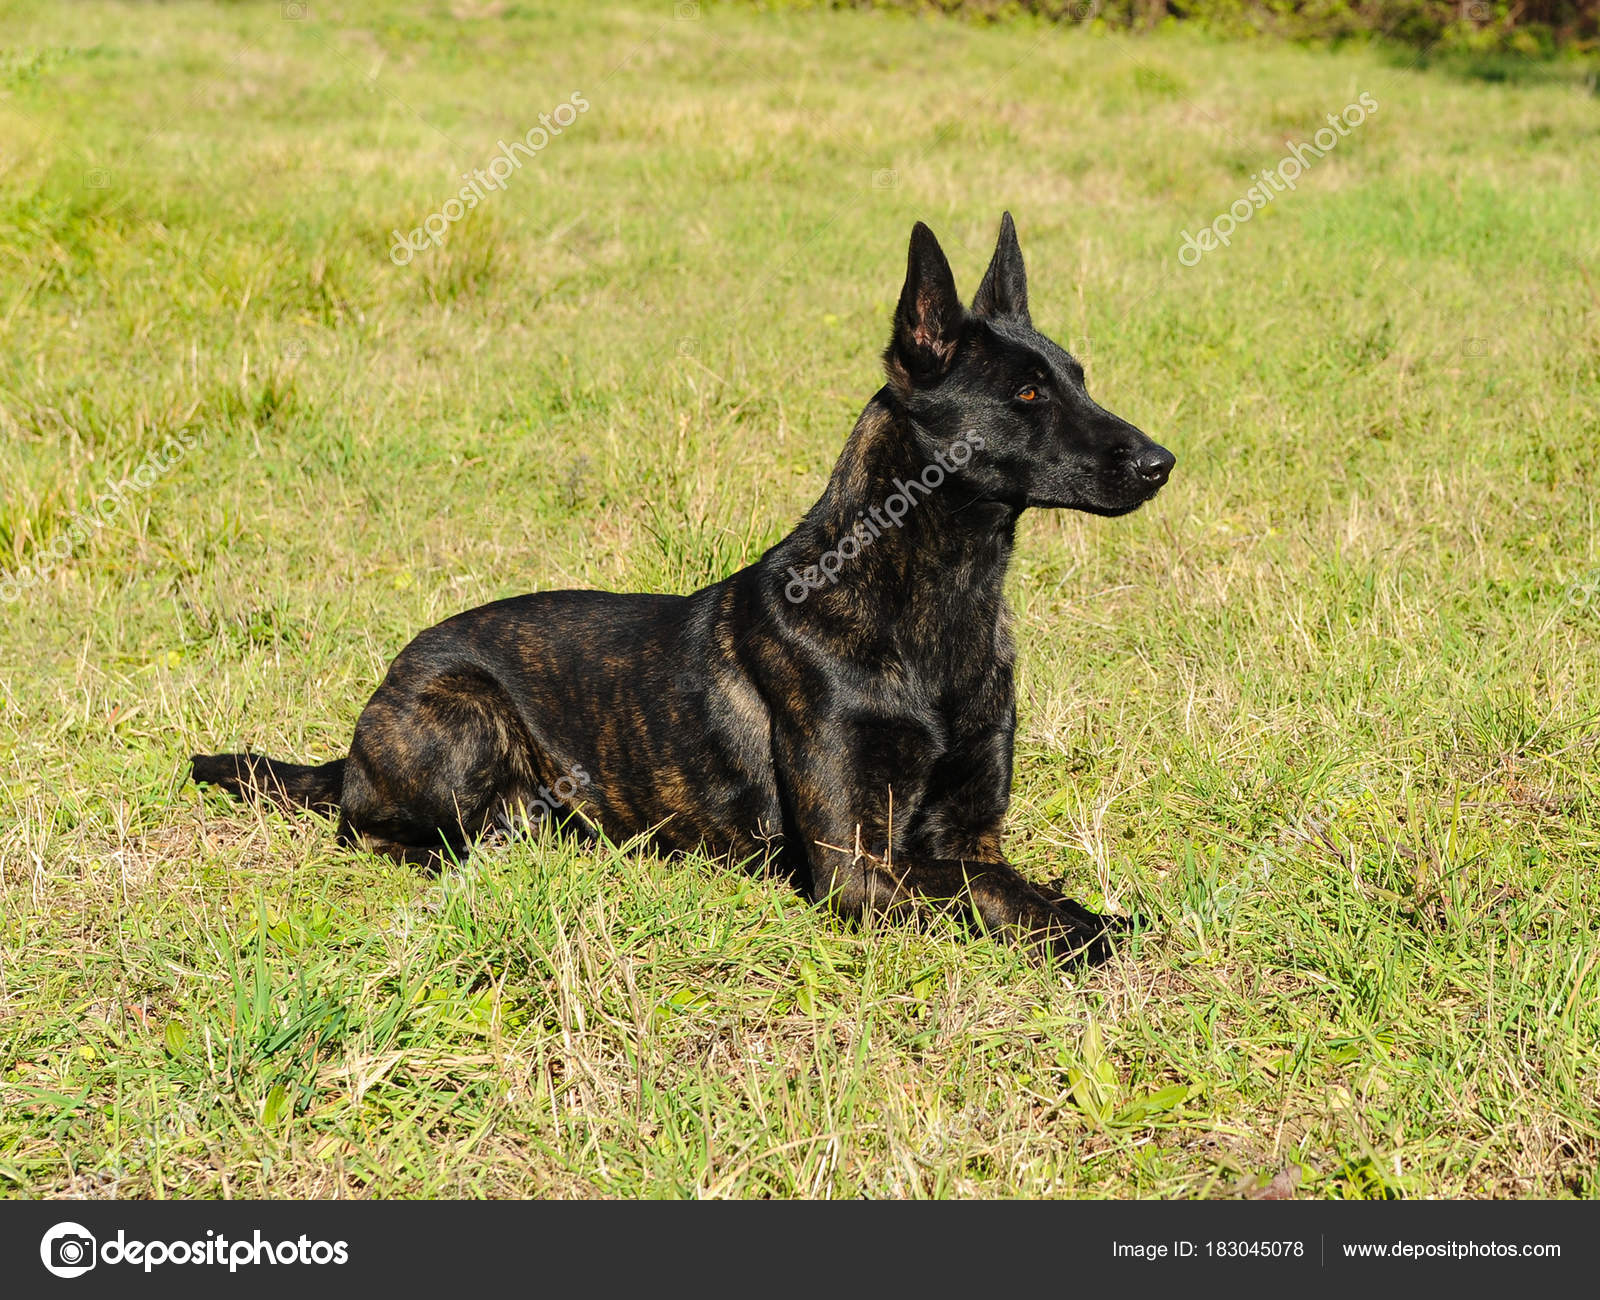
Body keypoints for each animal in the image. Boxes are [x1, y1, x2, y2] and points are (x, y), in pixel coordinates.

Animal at [196, 216, 1177, 966]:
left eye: (1078, 378)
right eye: (1026, 394)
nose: (1163, 462)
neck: (931, 600)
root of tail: (361, 730)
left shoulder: (968, 842)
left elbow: (1026, 897)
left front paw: (1106, 921)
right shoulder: (855, 872)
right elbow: (979, 909)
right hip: (460, 716)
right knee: (377, 830)